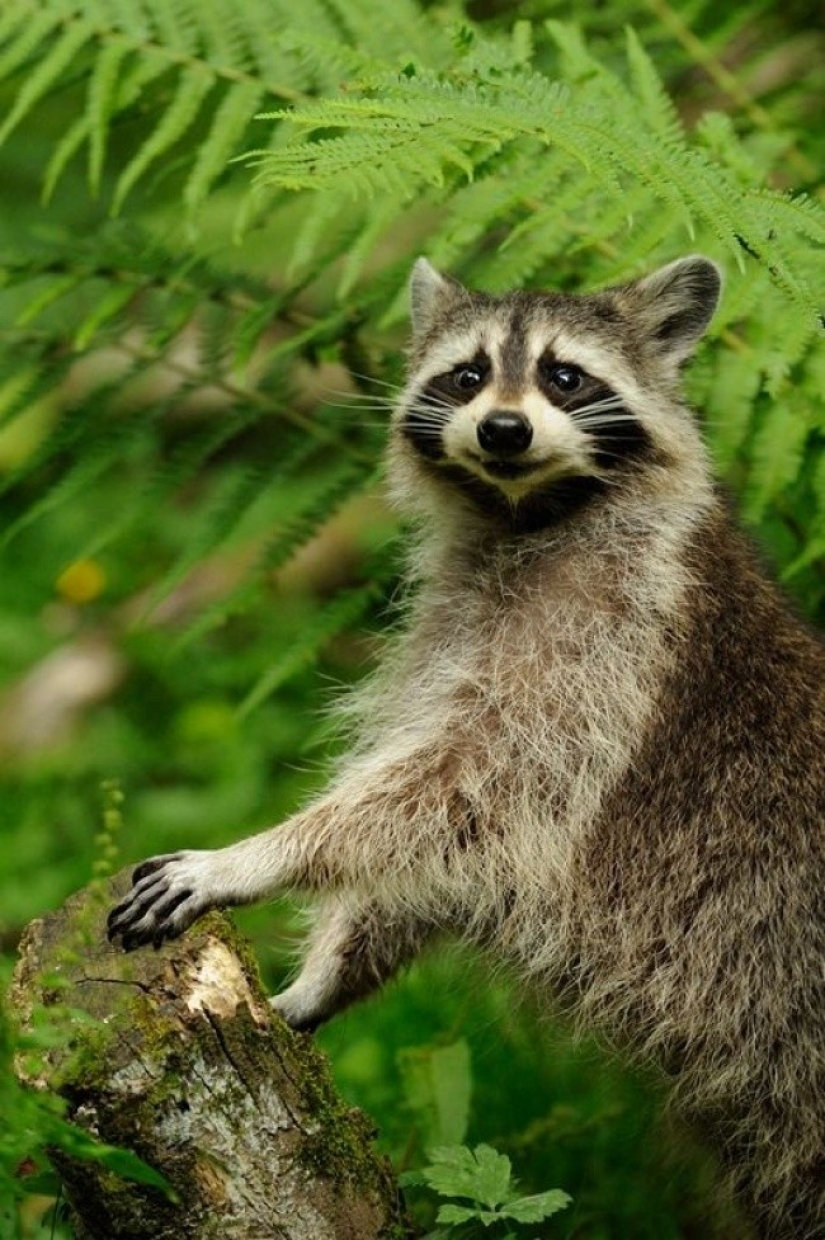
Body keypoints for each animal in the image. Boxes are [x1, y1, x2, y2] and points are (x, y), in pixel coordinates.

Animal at [108, 257, 825, 1238]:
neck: (525, 514)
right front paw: (328, 972)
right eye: (468, 374)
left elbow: (468, 786)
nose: (503, 428)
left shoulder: (612, 647)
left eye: (563, 376)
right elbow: (437, 827)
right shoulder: (453, 634)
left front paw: (258, 855)